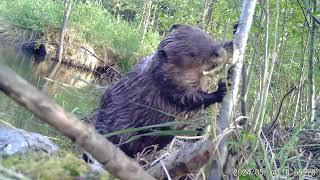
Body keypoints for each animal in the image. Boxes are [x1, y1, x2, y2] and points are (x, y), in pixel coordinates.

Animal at [94, 24, 232, 158]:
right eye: (192, 54)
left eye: (206, 36)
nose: (219, 52)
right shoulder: (168, 82)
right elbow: (189, 99)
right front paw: (221, 89)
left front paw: (230, 41)